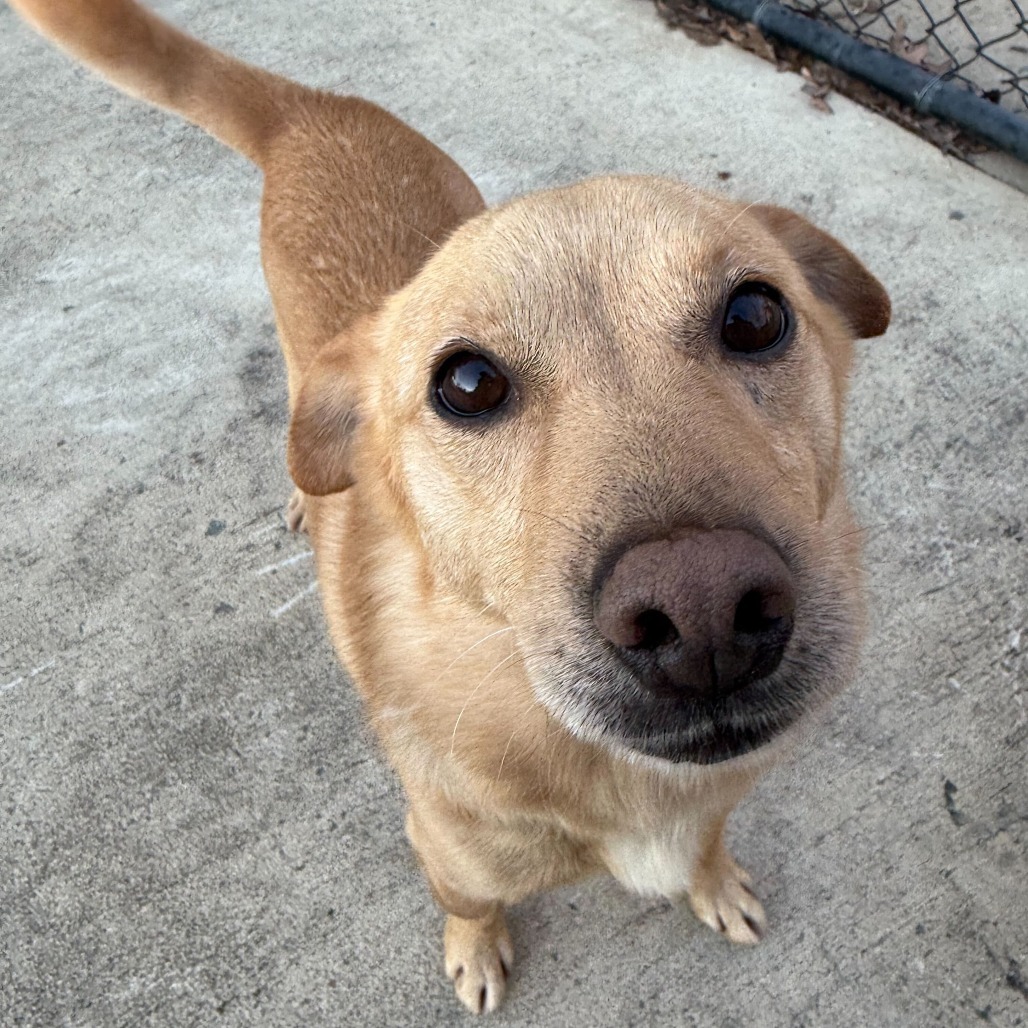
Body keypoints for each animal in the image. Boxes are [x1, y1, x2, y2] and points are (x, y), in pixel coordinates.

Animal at [10, 0, 892, 1011]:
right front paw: (476, 950)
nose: (703, 609)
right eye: (466, 385)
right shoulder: (445, 851)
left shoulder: (718, 794)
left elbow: (709, 839)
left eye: (755, 315)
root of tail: (313, 109)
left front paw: (712, 881)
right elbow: (472, 905)